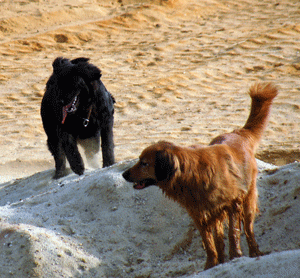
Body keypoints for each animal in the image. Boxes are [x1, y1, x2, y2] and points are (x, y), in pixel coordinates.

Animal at [123, 82, 278, 270]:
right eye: (139, 160)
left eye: (144, 163)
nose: (123, 174)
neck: (191, 174)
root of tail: (238, 133)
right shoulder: (199, 214)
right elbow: (209, 242)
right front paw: (211, 264)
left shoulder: (233, 203)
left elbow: (233, 233)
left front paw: (236, 256)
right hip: (215, 211)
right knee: (219, 238)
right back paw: (222, 260)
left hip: (247, 198)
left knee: (248, 229)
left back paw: (254, 252)